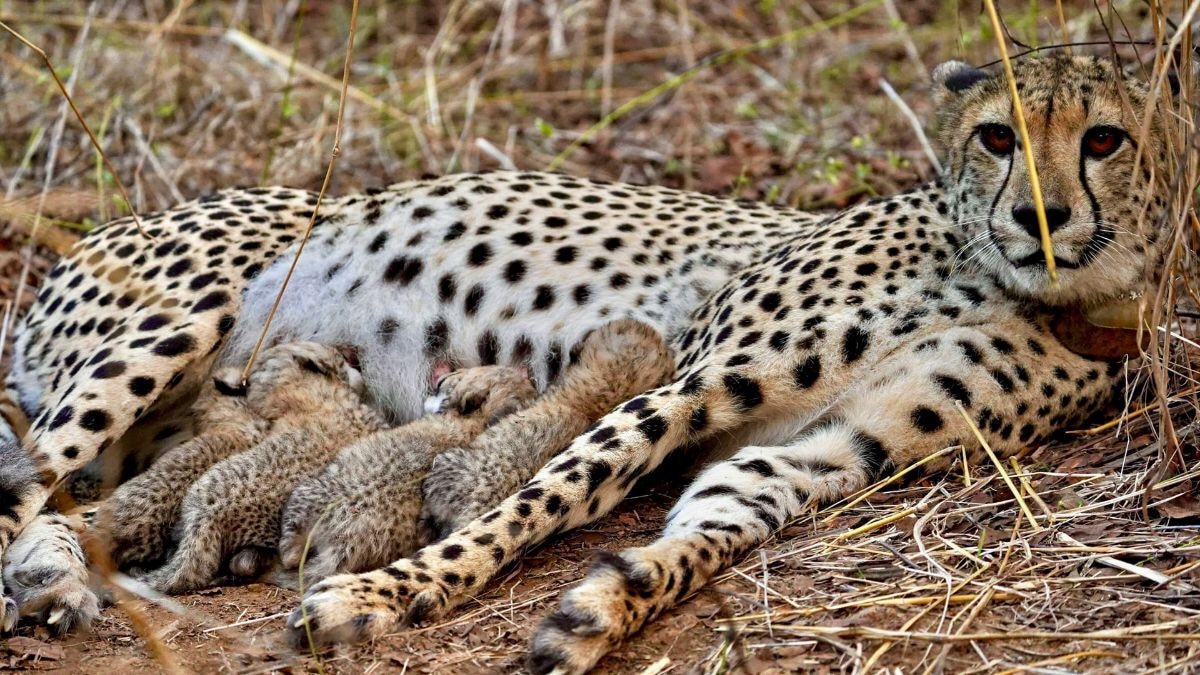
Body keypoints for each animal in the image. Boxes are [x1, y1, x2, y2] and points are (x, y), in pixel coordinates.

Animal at [0, 54, 1174, 673]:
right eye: (996, 135)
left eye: (1104, 138)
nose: (1040, 216)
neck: (1031, 286)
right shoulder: (688, 377)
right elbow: (545, 494)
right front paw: (391, 592)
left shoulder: (826, 450)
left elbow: (705, 530)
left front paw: (602, 608)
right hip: (173, 323)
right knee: (26, 480)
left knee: (75, 500)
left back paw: (60, 579)